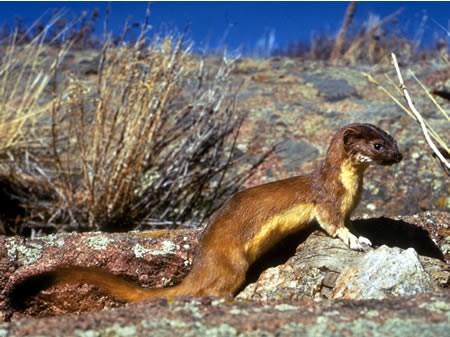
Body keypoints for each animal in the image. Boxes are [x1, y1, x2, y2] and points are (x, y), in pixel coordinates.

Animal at [8, 123, 402, 304]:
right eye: (378, 145)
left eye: (394, 140)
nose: (399, 156)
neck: (351, 189)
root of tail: (201, 264)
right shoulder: (326, 201)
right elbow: (333, 225)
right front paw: (358, 240)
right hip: (232, 265)